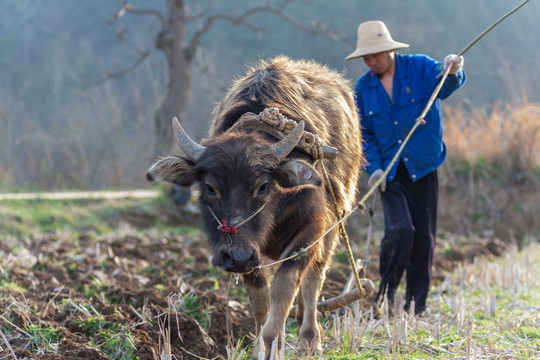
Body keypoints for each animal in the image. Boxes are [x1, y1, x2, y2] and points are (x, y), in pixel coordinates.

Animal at [147, 54, 362, 358]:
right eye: (210, 187)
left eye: (263, 186)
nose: (235, 256)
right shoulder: (250, 253)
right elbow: (261, 300)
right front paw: (263, 345)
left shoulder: (309, 234)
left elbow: (285, 289)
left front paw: (275, 344)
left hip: (335, 223)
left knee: (315, 278)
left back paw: (309, 338)